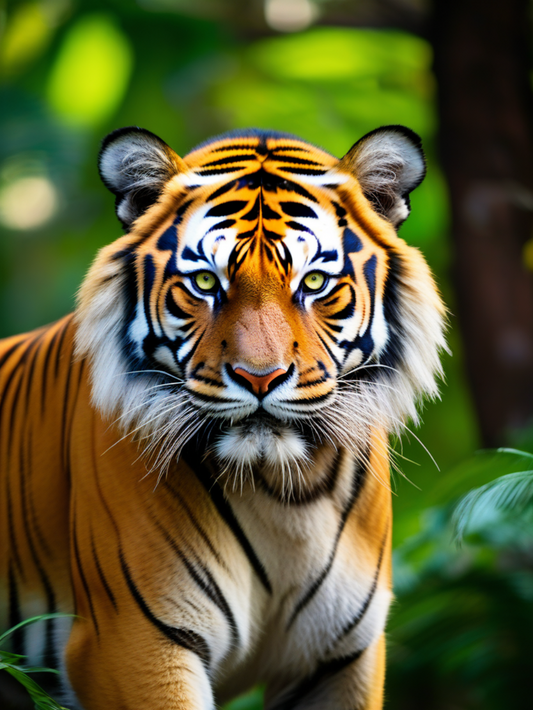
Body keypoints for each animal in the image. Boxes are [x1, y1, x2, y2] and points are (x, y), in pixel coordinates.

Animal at [0, 124, 445, 710]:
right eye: (207, 284)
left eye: (315, 283)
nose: (260, 377)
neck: (287, 492)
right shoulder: (133, 643)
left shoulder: (341, 658)